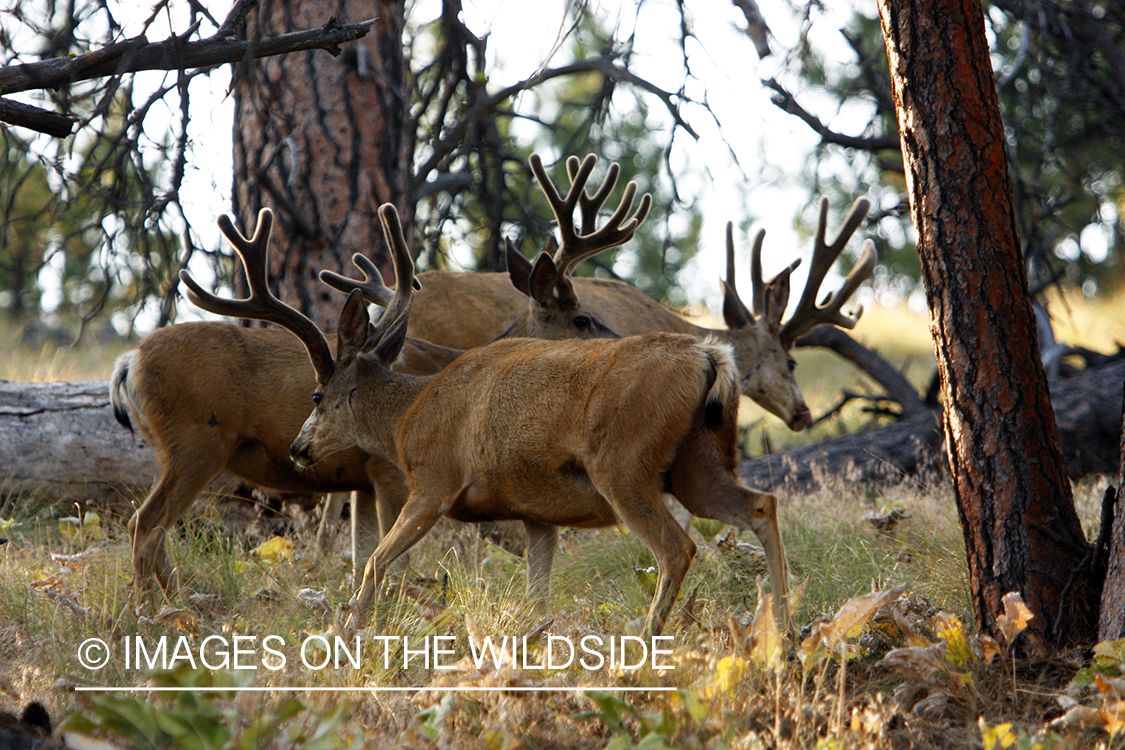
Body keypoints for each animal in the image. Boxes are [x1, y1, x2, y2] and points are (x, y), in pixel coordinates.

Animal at [111, 153, 649, 600]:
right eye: (582, 319)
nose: (626, 339)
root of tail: (128, 360)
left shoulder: (362, 481)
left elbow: (361, 554)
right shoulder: (391, 473)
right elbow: (397, 557)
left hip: (175, 450)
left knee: (154, 530)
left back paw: (178, 602)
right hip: (196, 443)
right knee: (145, 524)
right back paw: (153, 610)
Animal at [181, 202, 792, 639]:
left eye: (316, 395)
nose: (298, 450)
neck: (406, 414)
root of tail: (712, 356)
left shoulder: (433, 481)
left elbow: (376, 562)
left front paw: (352, 633)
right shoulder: (537, 512)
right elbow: (536, 593)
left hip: (624, 464)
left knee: (676, 548)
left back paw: (646, 643)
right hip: (696, 464)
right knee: (760, 505)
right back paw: (783, 631)